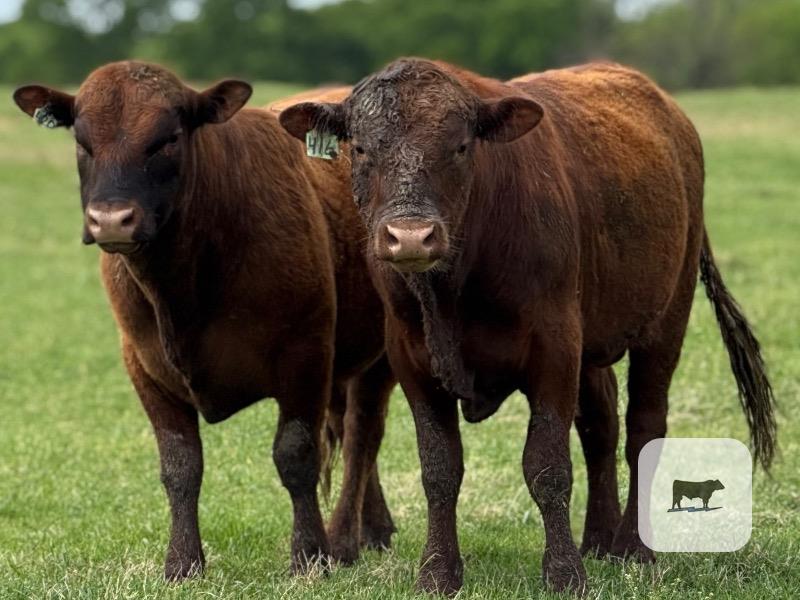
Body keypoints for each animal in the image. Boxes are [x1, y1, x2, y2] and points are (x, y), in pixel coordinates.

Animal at [13, 62, 396, 580]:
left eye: (168, 139)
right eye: (82, 142)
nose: (111, 220)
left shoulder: (306, 353)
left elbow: (296, 455)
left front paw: (310, 556)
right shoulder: (144, 366)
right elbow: (180, 466)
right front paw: (182, 562)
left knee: (361, 439)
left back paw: (344, 538)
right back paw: (373, 529)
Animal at [279, 58, 777, 595]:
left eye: (460, 147)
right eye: (361, 148)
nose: (410, 237)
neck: (455, 285)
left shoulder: (554, 349)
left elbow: (547, 465)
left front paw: (563, 572)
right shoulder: (411, 358)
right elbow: (439, 469)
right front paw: (438, 571)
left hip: (666, 322)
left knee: (644, 428)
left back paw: (632, 547)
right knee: (600, 425)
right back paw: (598, 537)